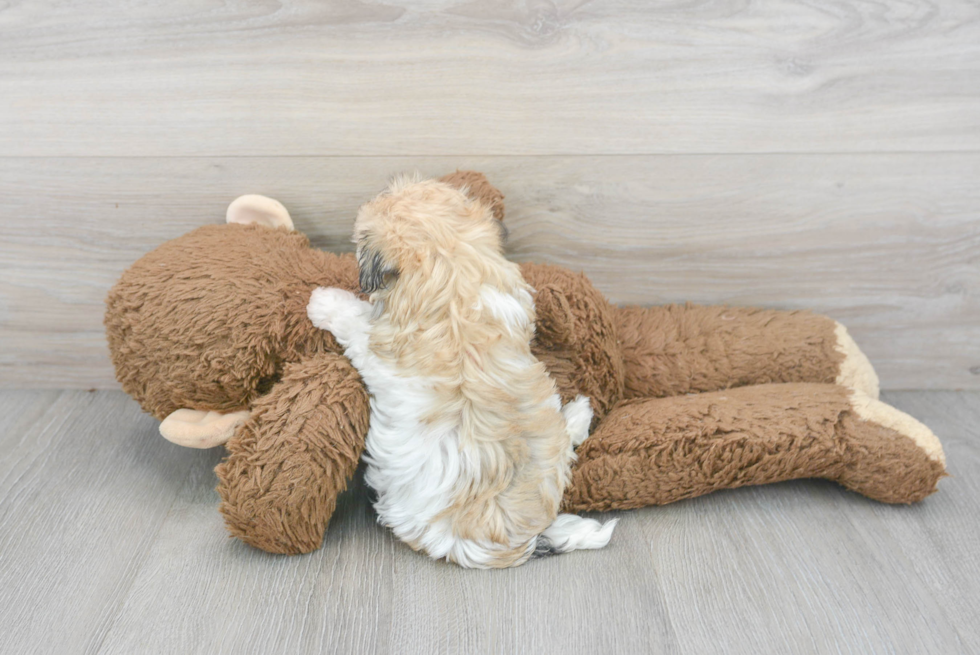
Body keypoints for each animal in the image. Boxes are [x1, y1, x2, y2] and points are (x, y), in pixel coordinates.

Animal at [306, 176, 616, 568]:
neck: (451, 271)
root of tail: (515, 545)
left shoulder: (377, 346)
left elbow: (353, 323)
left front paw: (322, 302)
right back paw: (577, 415)